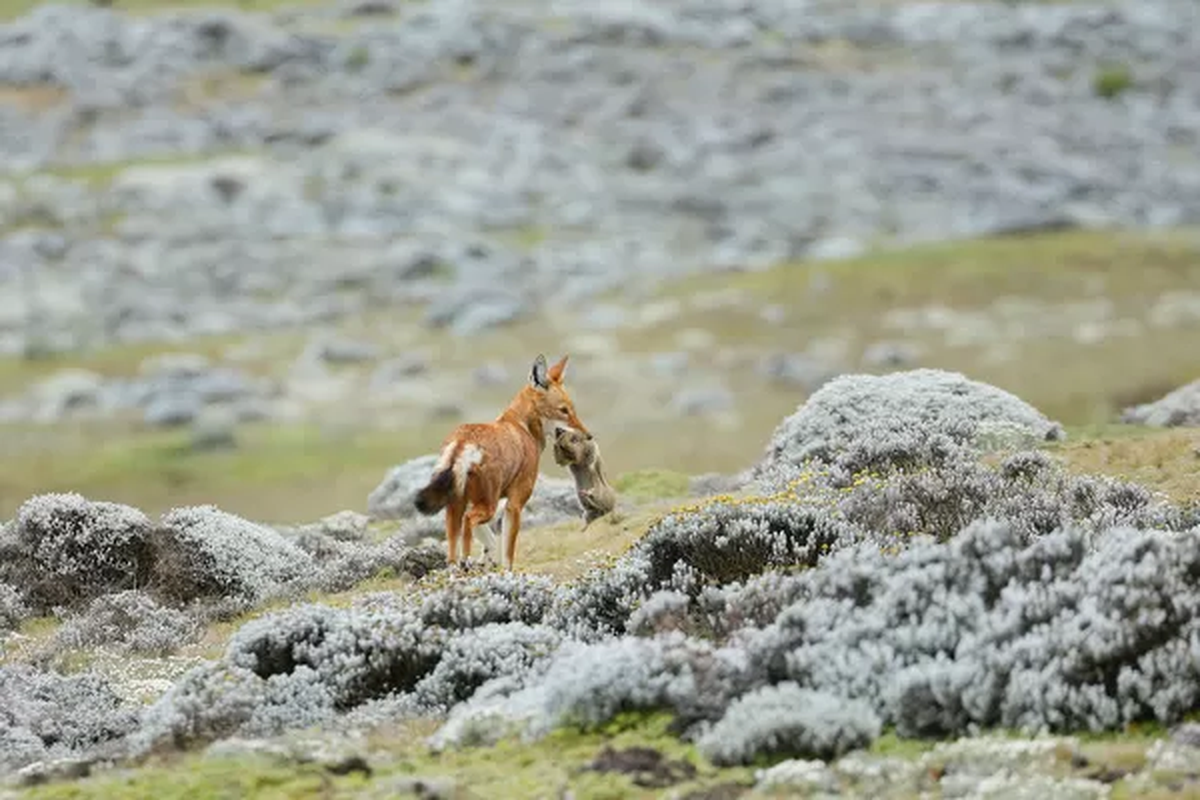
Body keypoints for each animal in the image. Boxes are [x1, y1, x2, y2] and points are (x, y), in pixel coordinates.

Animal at [415, 355, 592, 568]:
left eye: (572, 410)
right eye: (564, 410)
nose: (589, 436)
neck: (523, 428)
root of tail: (463, 441)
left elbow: (490, 541)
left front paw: (487, 559)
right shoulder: (514, 504)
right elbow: (508, 556)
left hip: (456, 508)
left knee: (452, 552)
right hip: (486, 507)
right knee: (468, 522)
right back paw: (466, 561)